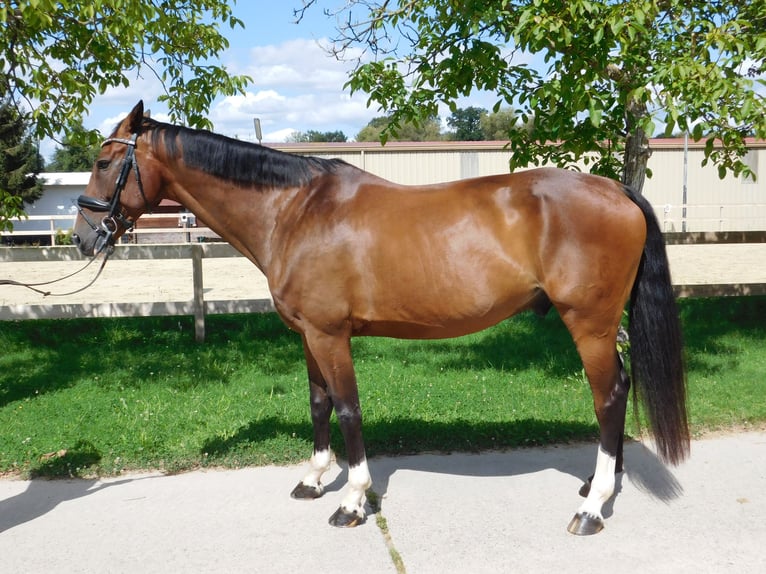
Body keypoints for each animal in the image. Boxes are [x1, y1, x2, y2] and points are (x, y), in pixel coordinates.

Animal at [75, 101, 692, 536]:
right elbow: (319, 402)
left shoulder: (331, 335)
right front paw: (312, 479)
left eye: (105, 163)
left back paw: (592, 508)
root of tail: (617, 190)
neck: (294, 211)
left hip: (588, 324)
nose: (83, 237)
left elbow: (348, 409)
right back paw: (599, 485)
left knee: (608, 395)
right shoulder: (308, 335)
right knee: (621, 388)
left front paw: (351, 501)